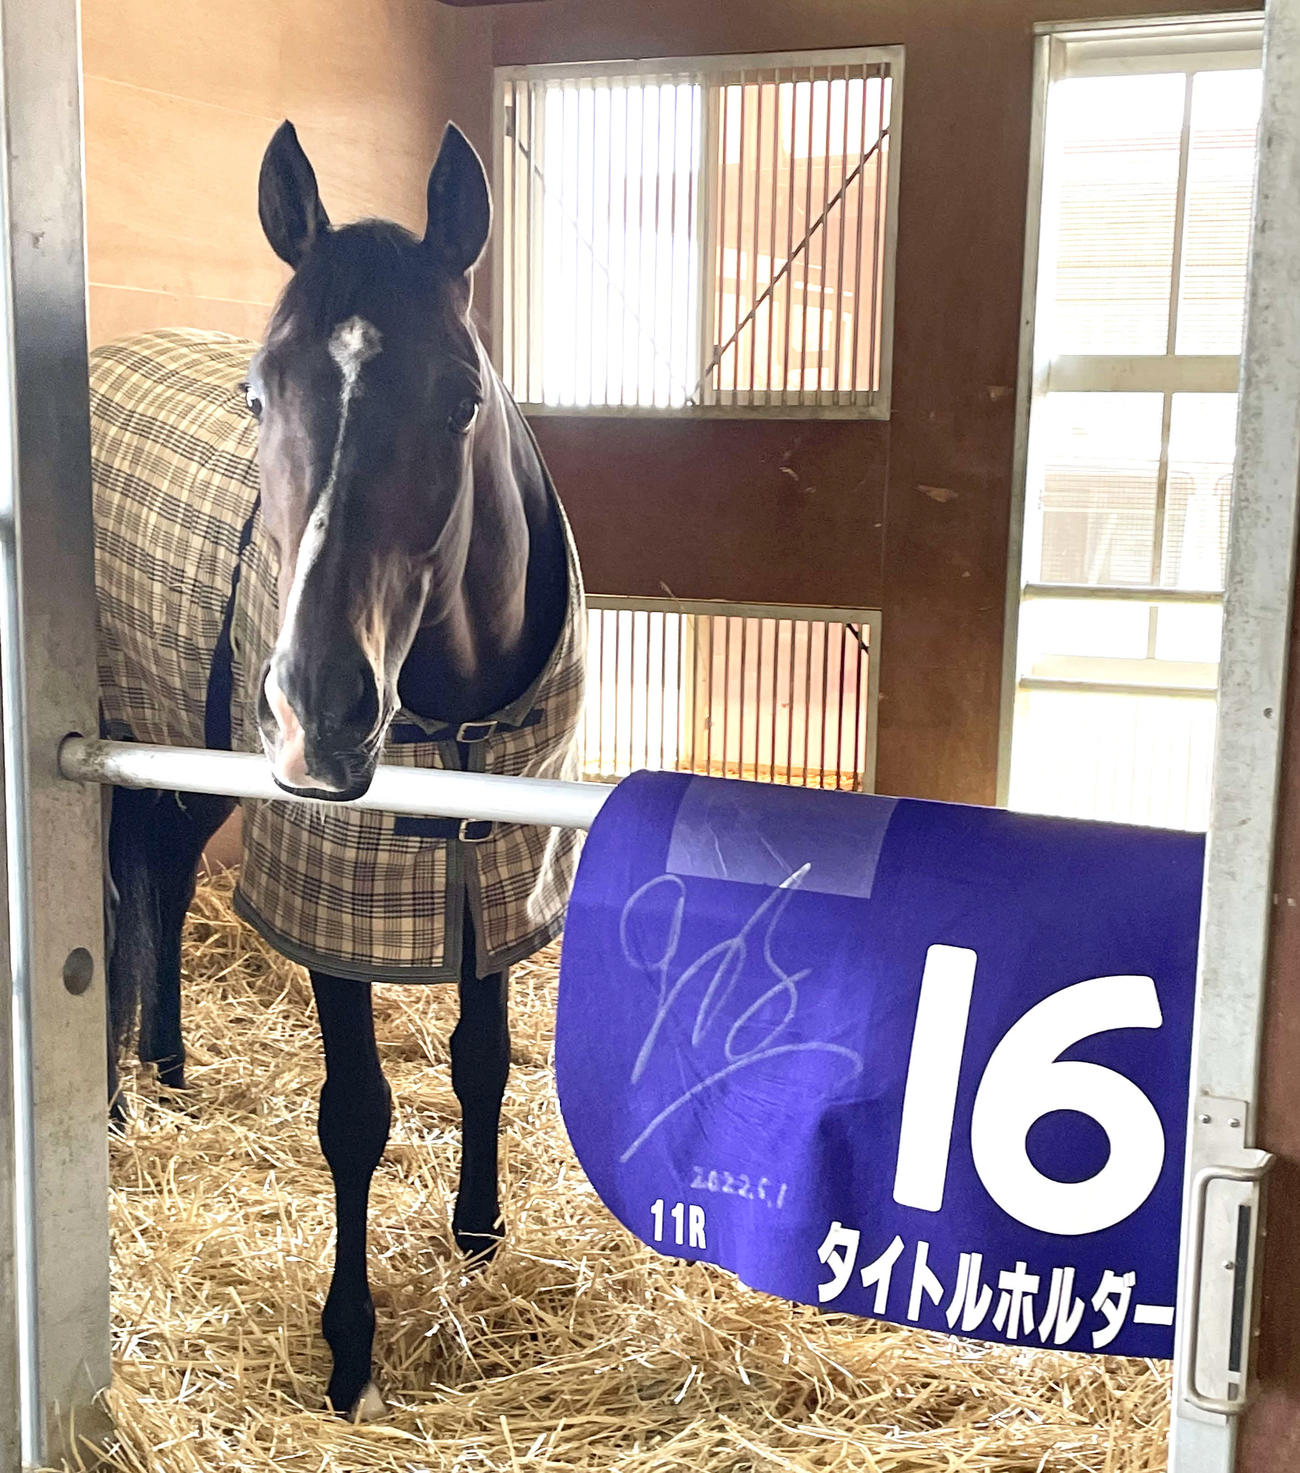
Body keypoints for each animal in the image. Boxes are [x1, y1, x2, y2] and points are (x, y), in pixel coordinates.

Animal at [94, 119, 584, 1420]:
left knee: (160, 872)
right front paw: (351, 1349)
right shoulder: (332, 891)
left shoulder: (494, 873)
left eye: (462, 400)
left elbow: (481, 1060)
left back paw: (168, 1064)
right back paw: (112, 1102)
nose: (318, 711)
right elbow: (356, 1116)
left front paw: (477, 1233)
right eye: (259, 391)